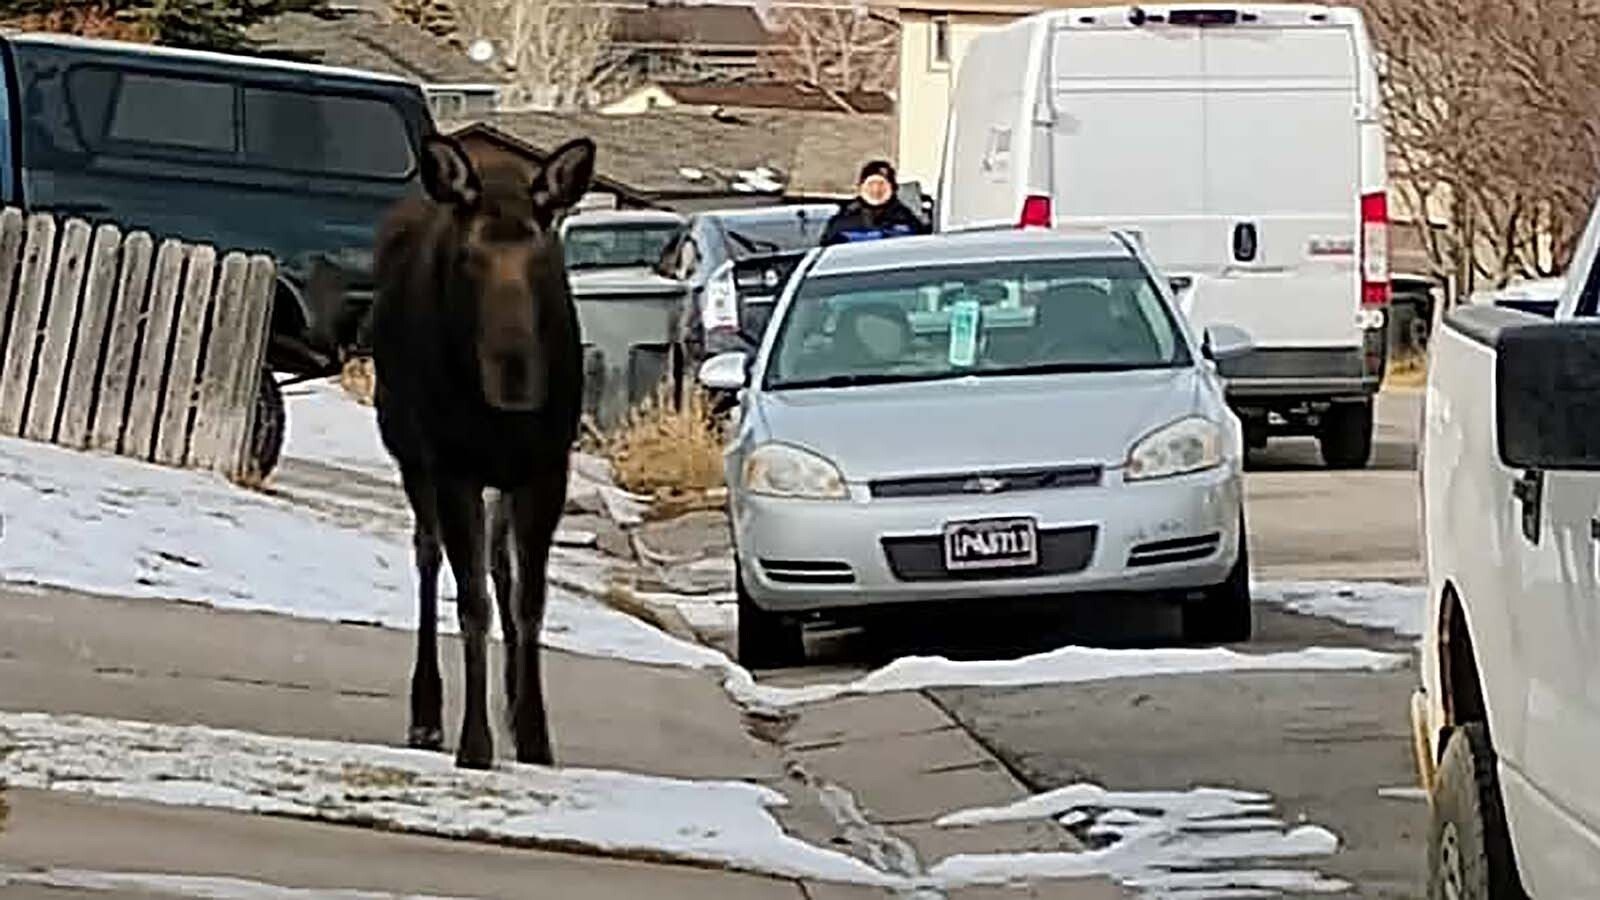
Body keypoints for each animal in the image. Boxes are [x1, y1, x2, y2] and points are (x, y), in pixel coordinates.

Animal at [370, 131, 595, 768]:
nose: (515, 371)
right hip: (409, 451)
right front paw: (475, 742)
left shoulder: (547, 467)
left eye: (542, 255)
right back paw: (426, 714)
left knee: (501, 567)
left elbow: (528, 600)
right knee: (428, 555)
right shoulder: (454, 465)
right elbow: (471, 602)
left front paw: (535, 733)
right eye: (469, 258)